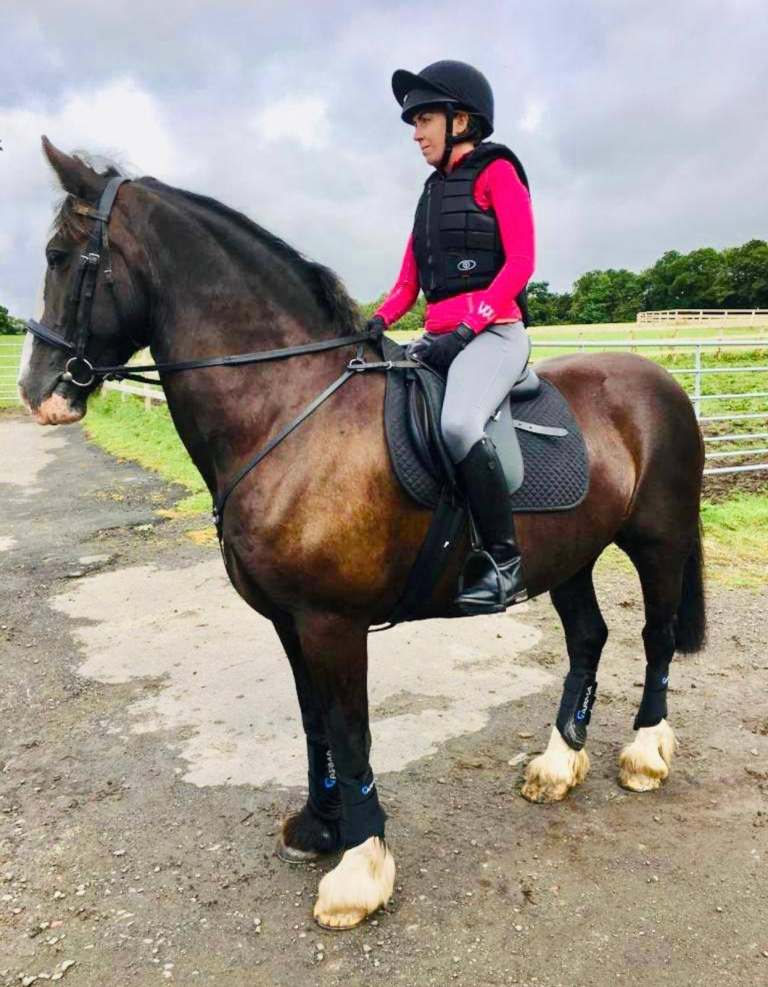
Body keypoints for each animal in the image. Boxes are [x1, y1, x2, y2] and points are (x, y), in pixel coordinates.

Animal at [18, 138, 706, 930]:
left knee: (655, 638)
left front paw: (359, 867)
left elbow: (350, 732)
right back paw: (559, 763)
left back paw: (645, 754)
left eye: (59, 256)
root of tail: (660, 381)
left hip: (659, 541)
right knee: (589, 638)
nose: (36, 393)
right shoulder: (289, 620)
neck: (290, 410)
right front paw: (321, 826)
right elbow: (315, 722)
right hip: (572, 556)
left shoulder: (331, 622)